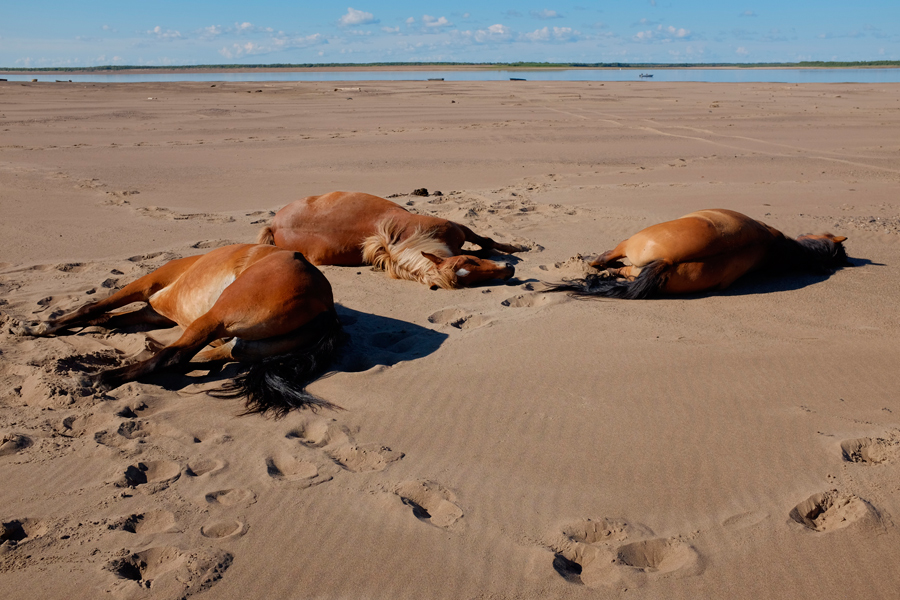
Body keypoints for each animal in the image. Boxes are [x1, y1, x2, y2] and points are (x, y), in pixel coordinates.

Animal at [14, 244, 344, 418]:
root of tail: (326, 304)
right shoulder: (151, 313)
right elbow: (107, 318)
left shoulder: (145, 285)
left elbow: (92, 308)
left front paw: (42, 326)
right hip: (241, 344)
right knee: (199, 357)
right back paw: (146, 350)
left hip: (217, 316)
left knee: (174, 356)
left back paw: (101, 377)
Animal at [256, 190, 528, 288]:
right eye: (469, 281)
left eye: (469, 262)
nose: (509, 271)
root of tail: (274, 224)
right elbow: (487, 244)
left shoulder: (461, 230)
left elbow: (487, 243)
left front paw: (518, 248)